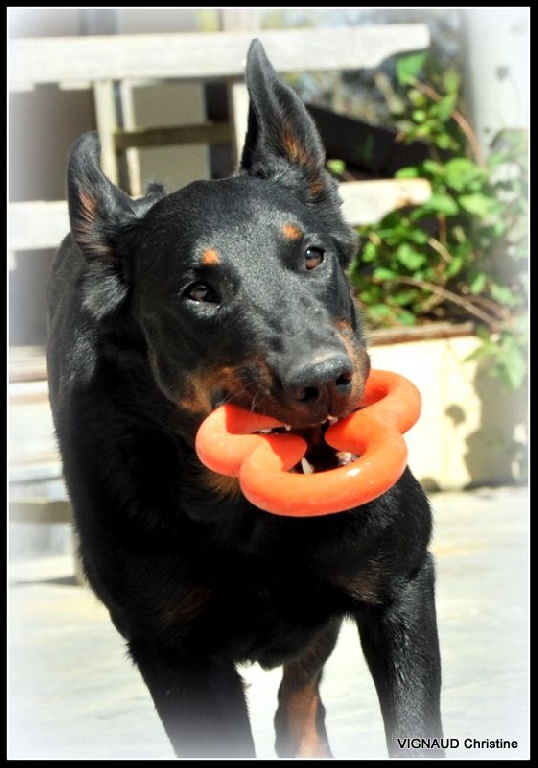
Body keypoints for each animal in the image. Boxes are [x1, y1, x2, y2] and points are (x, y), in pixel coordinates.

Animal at [46, 40, 442, 756]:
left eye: (312, 255)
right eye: (198, 292)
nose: (323, 380)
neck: (249, 516)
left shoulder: (399, 590)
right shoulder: (171, 654)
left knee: (300, 703)